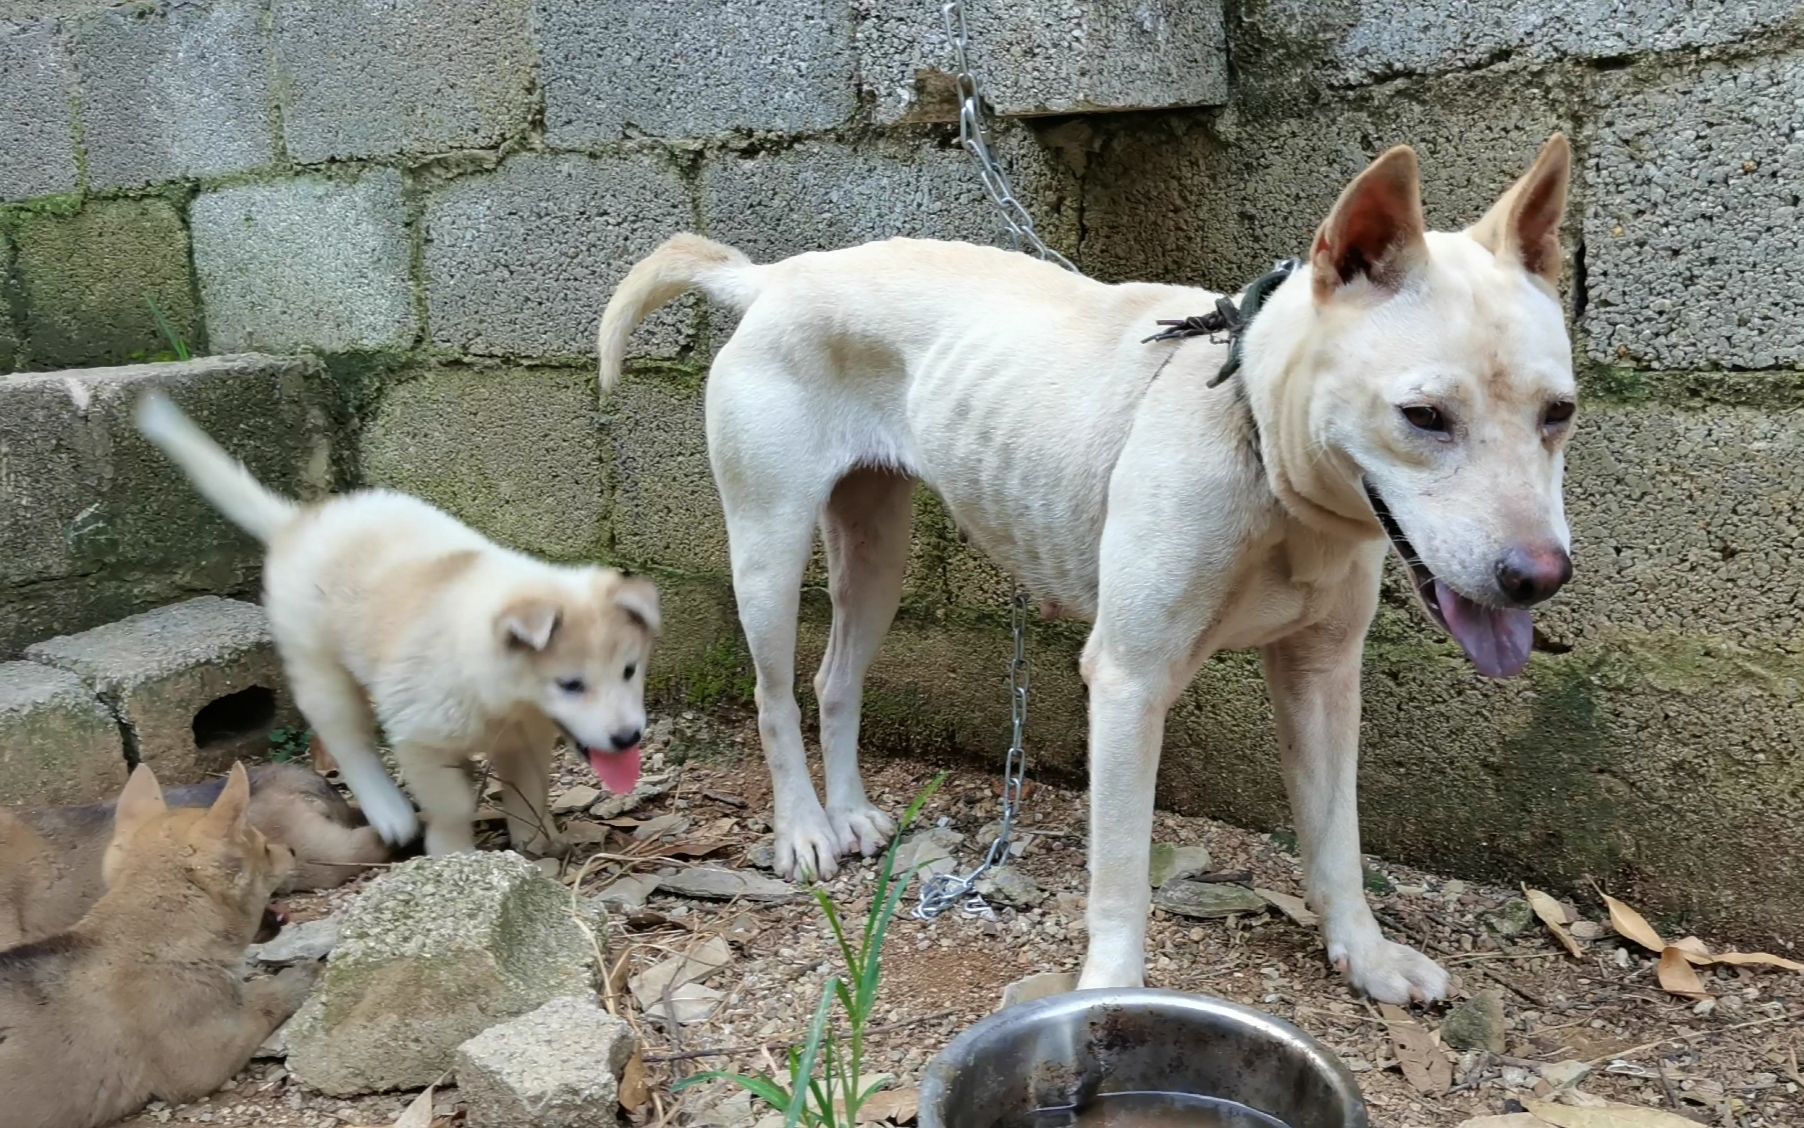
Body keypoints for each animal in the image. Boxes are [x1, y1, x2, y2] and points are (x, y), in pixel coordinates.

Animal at [0, 761, 313, 1126]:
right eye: (264, 847)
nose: (292, 850)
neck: (149, 942)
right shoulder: (202, 1061)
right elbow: (262, 999)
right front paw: (296, 978)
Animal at [133, 393, 660, 851]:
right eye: (571, 684)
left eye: (629, 671)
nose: (627, 738)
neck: (498, 691)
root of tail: (295, 522)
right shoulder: (419, 736)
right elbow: (451, 804)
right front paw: (453, 853)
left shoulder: (526, 737)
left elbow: (527, 791)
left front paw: (535, 840)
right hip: (319, 666)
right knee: (348, 740)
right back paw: (390, 812)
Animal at [595, 134, 1580, 1003]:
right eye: (1423, 416)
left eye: (1560, 413)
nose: (1540, 577)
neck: (1254, 435)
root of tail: (776, 277)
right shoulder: (1130, 681)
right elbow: (1122, 873)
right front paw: (1111, 993)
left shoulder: (1323, 676)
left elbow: (1337, 842)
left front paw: (1366, 959)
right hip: (767, 546)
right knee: (773, 693)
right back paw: (803, 830)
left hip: (877, 554)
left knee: (836, 679)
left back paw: (850, 814)